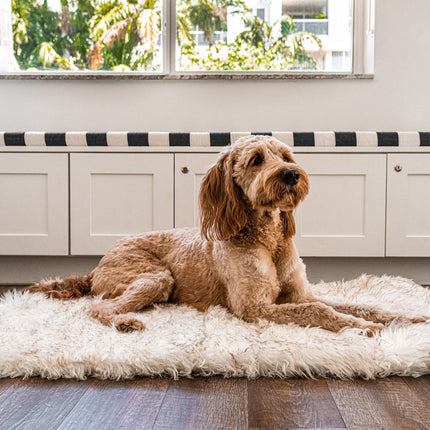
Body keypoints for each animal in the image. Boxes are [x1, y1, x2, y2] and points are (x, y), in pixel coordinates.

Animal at [26, 136, 426, 334]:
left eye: (286, 155)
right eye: (256, 159)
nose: (292, 174)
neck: (268, 238)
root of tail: (96, 266)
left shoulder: (298, 293)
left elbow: (355, 304)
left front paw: (403, 318)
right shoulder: (255, 308)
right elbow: (319, 311)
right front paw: (361, 328)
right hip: (156, 277)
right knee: (98, 306)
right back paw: (124, 321)